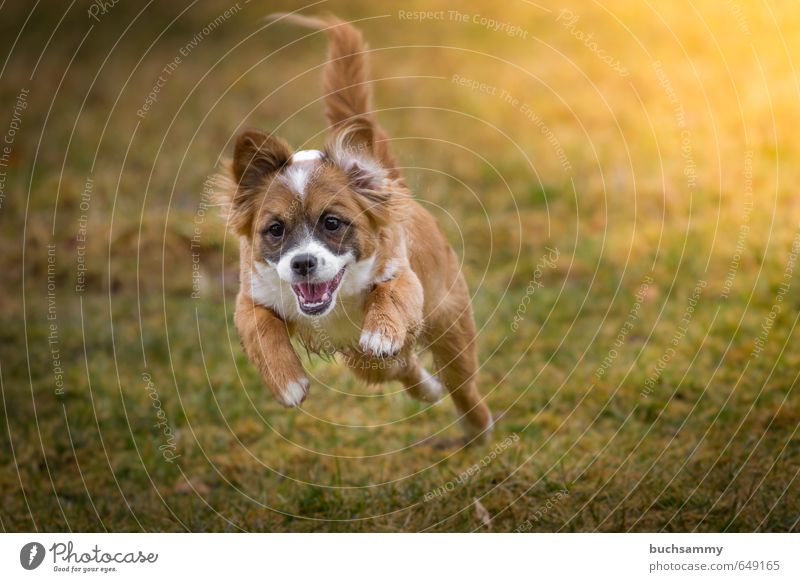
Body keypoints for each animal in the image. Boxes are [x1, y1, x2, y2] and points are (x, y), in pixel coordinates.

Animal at [219, 13, 494, 442]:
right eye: (275, 230)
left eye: (332, 223)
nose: (302, 264)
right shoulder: (251, 296)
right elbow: (260, 329)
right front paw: (287, 383)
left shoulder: (401, 276)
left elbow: (389, 297)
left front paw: (380, 334)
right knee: (402, 370)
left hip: (451, 324)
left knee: (458, 383)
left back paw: (477, 425)